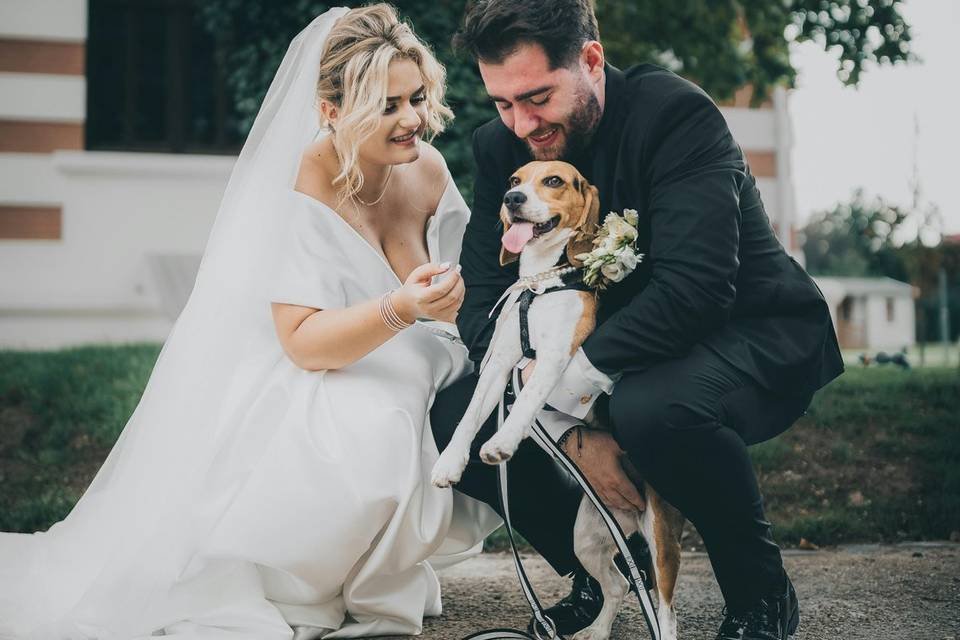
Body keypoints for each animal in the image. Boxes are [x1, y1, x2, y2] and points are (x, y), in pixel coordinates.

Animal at [432, 162, 688, 640]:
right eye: (514, 179)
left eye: (554, 181)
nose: (512, 199)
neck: (538, 284)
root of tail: (630, 514)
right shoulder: (499, 363)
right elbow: (469, 417)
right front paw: (449, 464)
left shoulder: (553, 360)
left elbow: (527, 401)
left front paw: (502, 443)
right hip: (587, 537)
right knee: (619, 583)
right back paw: (596, 631)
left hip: (661, 538)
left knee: (665, 611)